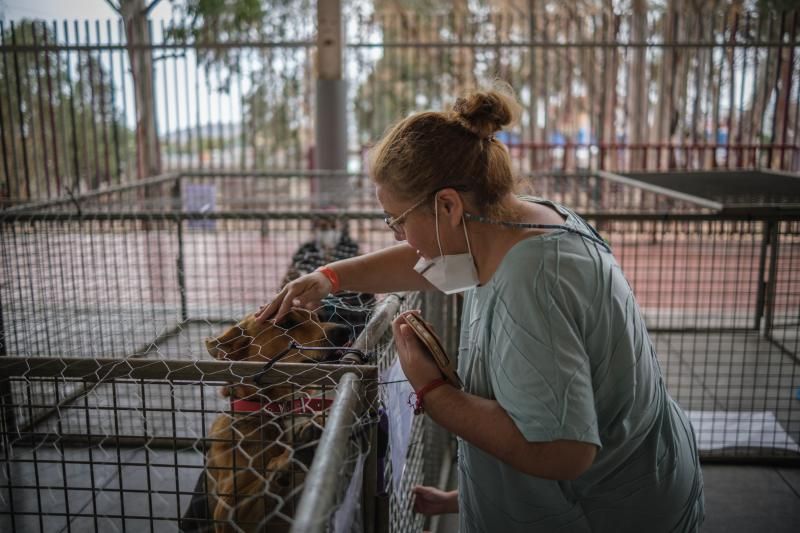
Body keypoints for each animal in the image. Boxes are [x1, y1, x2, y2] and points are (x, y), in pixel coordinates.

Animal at [184, 308, 354, 532]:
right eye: (287, 323)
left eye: (318, 318)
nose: (346, 330)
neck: (277, 410)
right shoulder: (227, 512)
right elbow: (267, 478)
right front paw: (289, 457)